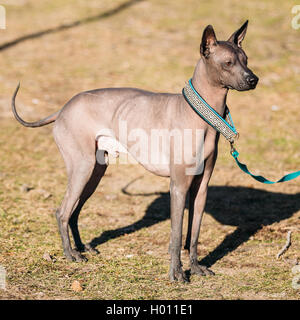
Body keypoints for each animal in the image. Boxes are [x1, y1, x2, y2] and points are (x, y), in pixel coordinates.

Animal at [11, 20, 258, 282]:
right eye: (228, 63)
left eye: (246, 59)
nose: (254, 79)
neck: (202, 115)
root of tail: (63, 107)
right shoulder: (178, 186)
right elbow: (177, 235)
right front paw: (177, 273)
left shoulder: (201, 187)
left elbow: (194, 233)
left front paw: (196, 267)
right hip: (82, 168)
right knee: (62, 211)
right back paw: (71, 254)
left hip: (95, 172)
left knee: (74, 211)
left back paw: (80, 247)